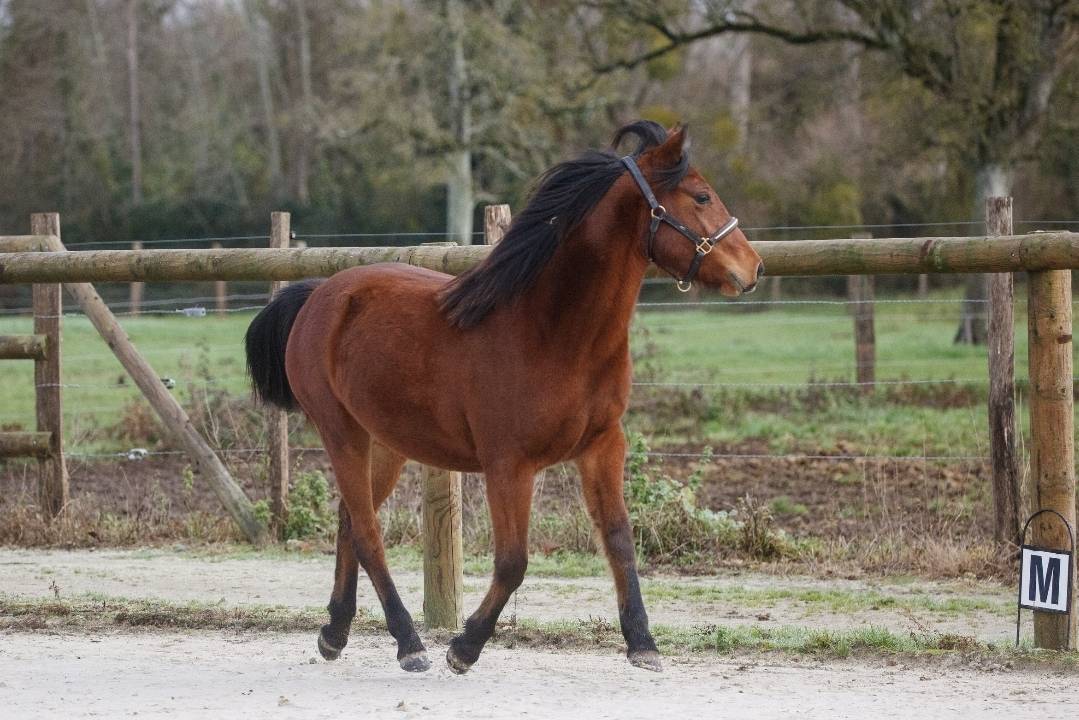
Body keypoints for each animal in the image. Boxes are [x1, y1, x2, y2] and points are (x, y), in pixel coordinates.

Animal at [244, 120, 763, 674]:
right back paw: (409, 643)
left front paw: (643, 643)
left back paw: (335, 633)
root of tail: (318, 295)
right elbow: (514, 562)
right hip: (340, 432)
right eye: (701, 195)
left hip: (385, 441)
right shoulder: (508, 464)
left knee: (348, 522)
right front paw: (464, 646)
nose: (753, 268)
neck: (554, 332)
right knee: (366, 532)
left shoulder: (603, 446)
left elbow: (620, 540)